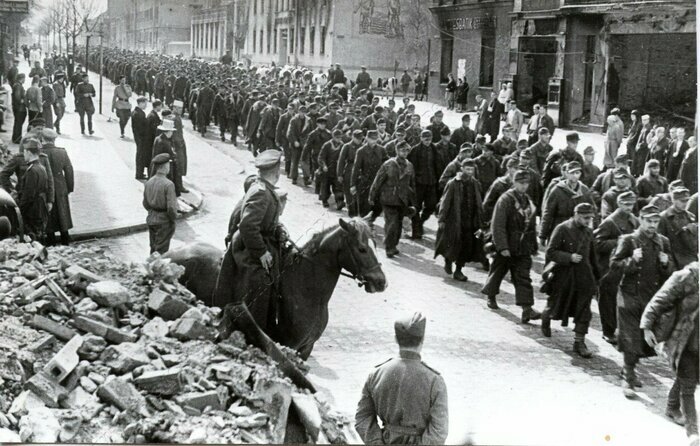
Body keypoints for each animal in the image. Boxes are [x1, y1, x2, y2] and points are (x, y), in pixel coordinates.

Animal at [163, 218, 386, 360]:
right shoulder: (288, 346)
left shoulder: (305, 350)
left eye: (375, 245)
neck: (307, 290)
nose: (381, 282)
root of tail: (167, 255)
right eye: (362, 249)